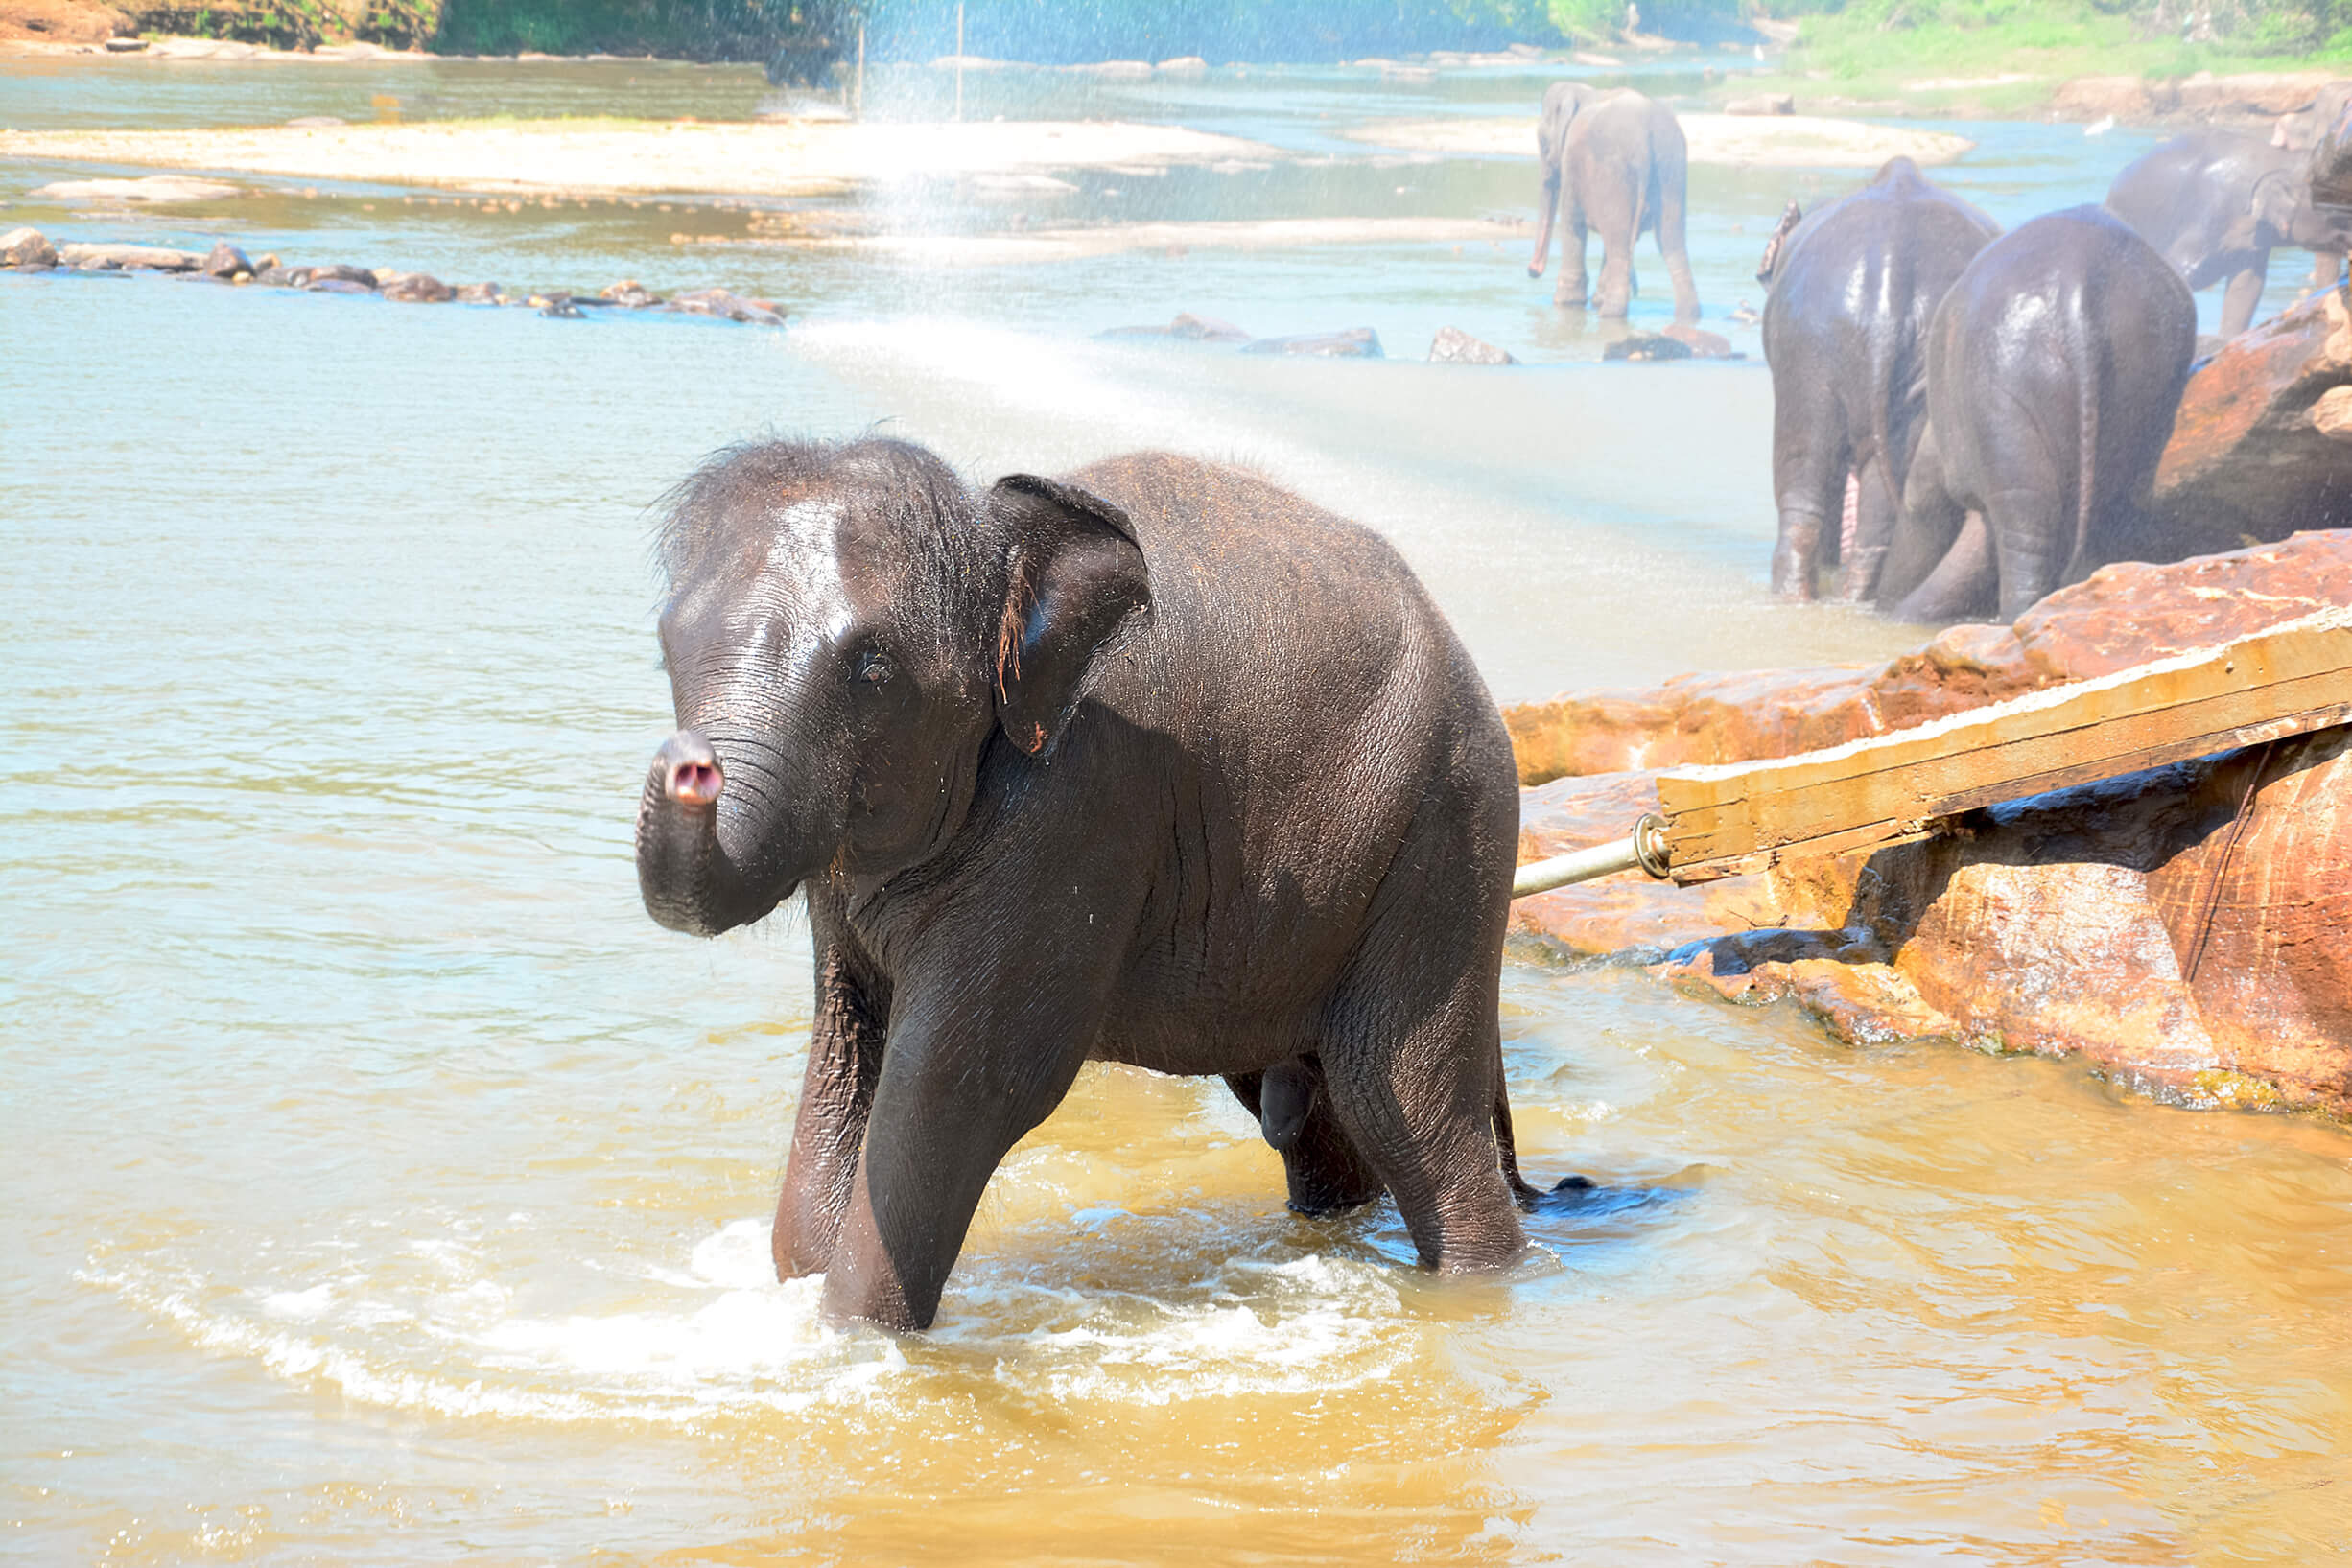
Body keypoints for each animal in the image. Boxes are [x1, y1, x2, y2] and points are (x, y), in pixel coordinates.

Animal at [635, 434, 1570, 1335]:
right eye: (666, 648)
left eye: (873, 668)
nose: (689, 764)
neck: (995, 539)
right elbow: (841, 1055)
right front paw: (800, 1293)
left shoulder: (1077, 808)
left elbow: (961, 1083)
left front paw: (854, 1337)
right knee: (1310, 1115)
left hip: (1446, 836)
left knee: (1398, 1101)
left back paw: (1481, 1279)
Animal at [1523, 84, 1693, 324]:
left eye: (1543, 143)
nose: (1533, 271)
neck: (1584, 92)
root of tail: (1645, 136)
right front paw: (1591, 302)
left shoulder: (1572, 165)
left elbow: (1572, 224)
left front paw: (1566, 304)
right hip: (1671, 171)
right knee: (1670, 242)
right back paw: (1688, 316)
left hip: (1616, 173)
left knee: (1619, 241)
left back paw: (1610, 314)